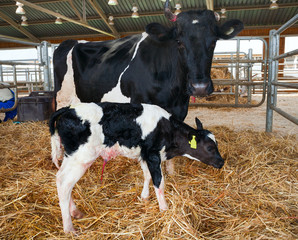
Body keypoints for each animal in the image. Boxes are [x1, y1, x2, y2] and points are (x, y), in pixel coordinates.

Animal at [48, 102, 224, 233]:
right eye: (210, 147)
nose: (221, 162)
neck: (167, 130)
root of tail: (68, 109)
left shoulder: (144, 154)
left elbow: (147, 175)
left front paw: (144, 197)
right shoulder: (153, 155)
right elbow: (159, 182)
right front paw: (165, 210)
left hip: (71, 156)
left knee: (62, 180)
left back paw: (74, 211)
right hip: (81, 157)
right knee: (64, 183)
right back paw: (69, 228)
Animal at [54, 0, 244, 121]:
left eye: (214, 42)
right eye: (179, 42)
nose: (200, 87)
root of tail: (69, 41)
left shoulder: (179, 111)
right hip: (62, 97)